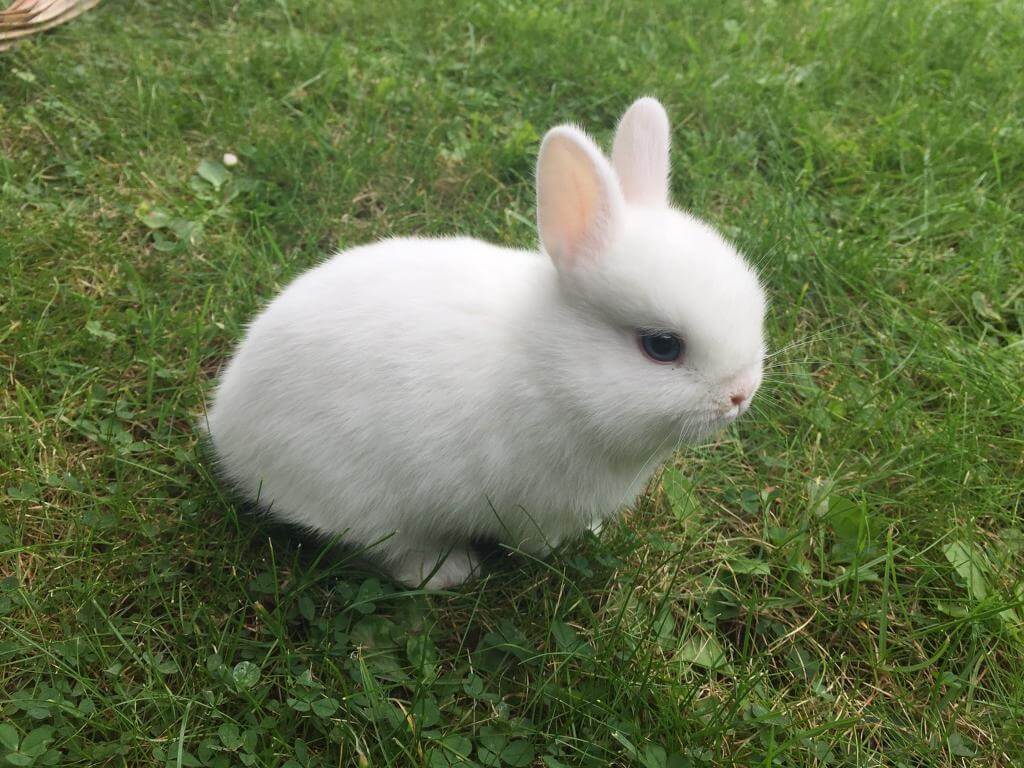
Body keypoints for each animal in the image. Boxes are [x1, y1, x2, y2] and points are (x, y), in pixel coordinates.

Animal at [205, 97, 767, 589]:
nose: (740, 394)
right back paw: (451, 572)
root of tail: (227, 426)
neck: (549, 369)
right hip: (369, 502)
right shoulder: (533, 505)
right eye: (662, 346)